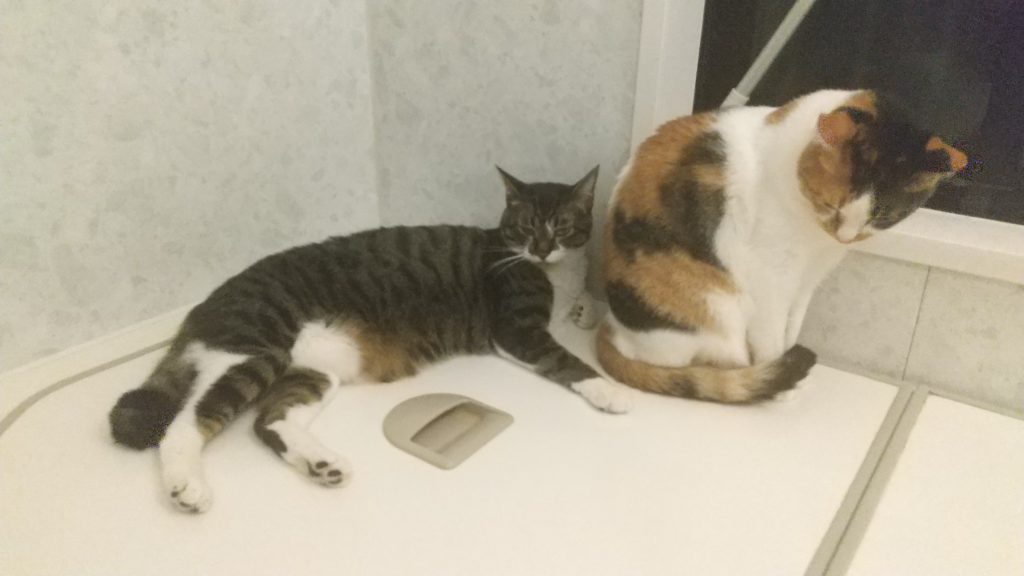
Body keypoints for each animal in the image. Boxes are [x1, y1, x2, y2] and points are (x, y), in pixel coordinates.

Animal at [109, 166, 631, 513]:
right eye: (525, 227)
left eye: (562, 226)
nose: (541, 250)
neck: (557, 274)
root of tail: (200, 311)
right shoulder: (516, 330)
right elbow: (564, 359)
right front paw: (608, 389)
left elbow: (587, 310)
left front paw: (589, 309)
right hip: (253, 350)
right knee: (184, 423)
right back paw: (186, 487)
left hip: (313, 370)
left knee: (268, 421)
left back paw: (321, 464)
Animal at [597, 89, 967, 402]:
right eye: (832, 206)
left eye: (883, 216)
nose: (845, 236)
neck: (816, 240)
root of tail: (614, 329)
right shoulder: (772, 280)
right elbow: (773, 338)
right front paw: (783, 379)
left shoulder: (806, 283)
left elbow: (792, 327)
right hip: (718, 305)